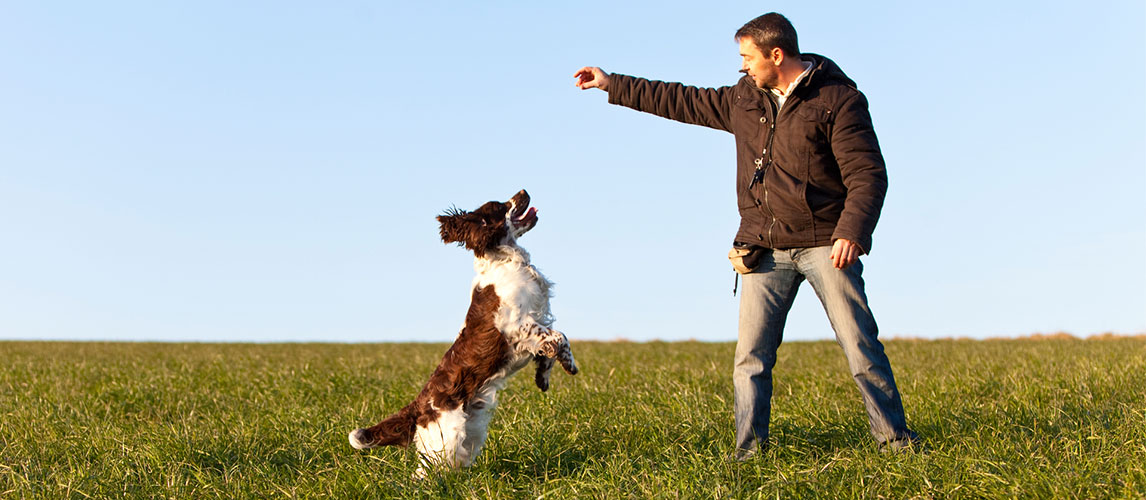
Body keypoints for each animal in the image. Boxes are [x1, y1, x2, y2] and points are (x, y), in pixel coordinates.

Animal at [346, 188, 582, 477]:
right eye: (501, 206)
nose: (524, 191)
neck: (507, 260)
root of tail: (418, 406)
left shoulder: (535, 322)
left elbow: (554, 343)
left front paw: (544, 377)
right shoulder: (517, 325)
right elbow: (558, 336)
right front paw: (568, 365)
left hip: (471, 432)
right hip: (445, 437)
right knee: (424, 472)